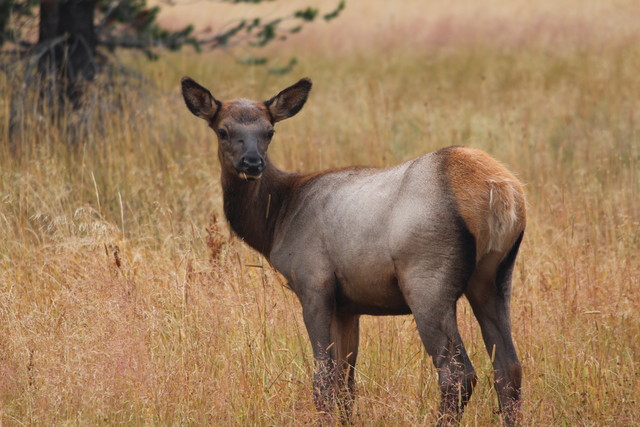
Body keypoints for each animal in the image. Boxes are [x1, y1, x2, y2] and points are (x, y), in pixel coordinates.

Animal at [182, 77, 528, 427]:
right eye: (223, 130)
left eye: (269, 131)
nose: (252, 163)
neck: (276, 220)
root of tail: (501, 191)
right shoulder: (349, 305)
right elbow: (346, 382)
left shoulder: (314, 284)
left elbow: (324, 378)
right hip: (495, 278)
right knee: (509, 368)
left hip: (427, 278)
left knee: (457, 373)